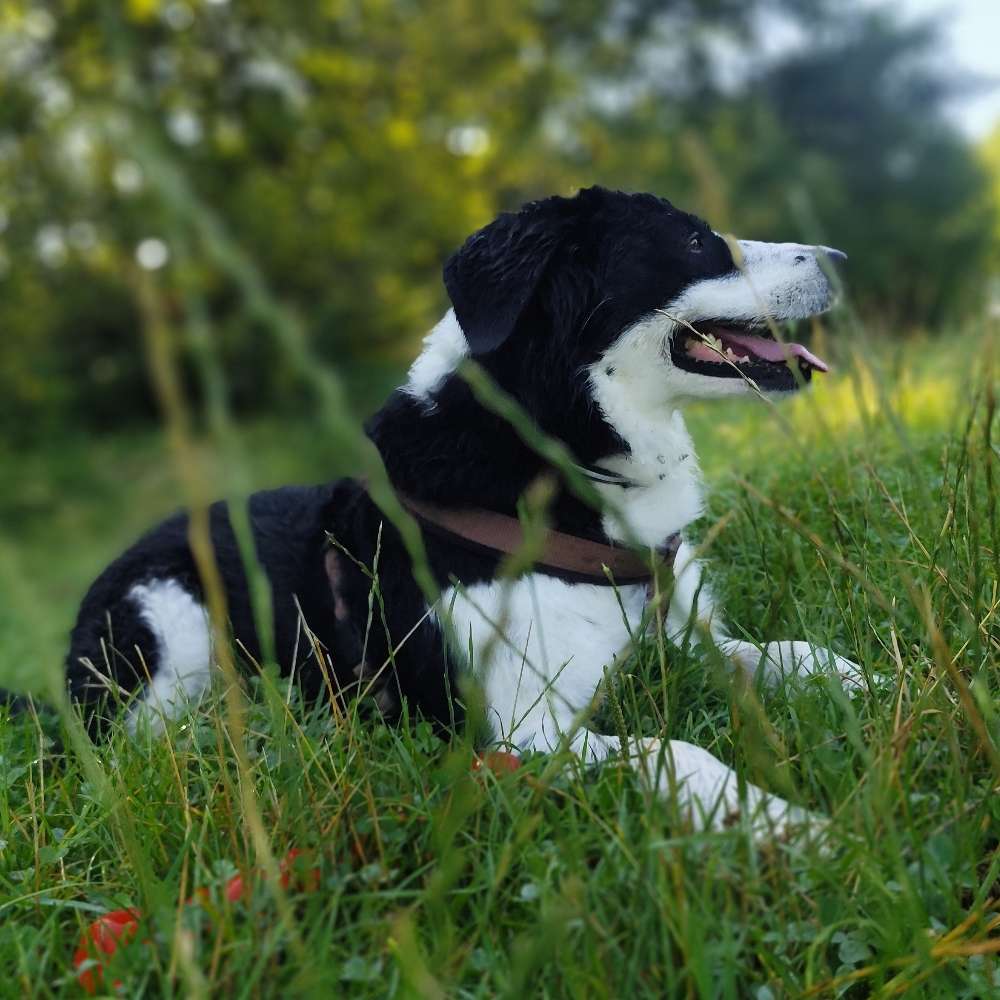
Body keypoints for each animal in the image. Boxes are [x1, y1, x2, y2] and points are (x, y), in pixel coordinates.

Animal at [62, 186, 864, 836]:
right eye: (695, 242)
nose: (839, 258)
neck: (549, 459)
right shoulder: (528, 733)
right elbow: (673, 751)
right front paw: (787, 825)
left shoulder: (678, 639)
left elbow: (785, 654)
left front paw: (875, 678)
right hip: (166, 619)